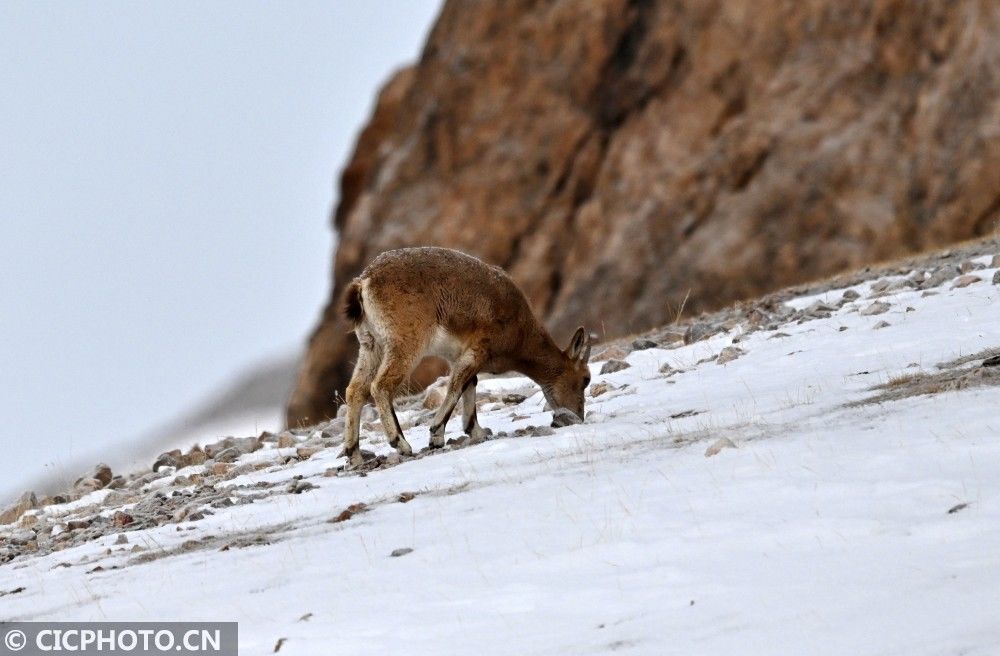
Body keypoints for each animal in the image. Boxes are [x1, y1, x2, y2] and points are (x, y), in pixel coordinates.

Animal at [344, 246, 592, 466]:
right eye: (586, 379)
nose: (578, 416)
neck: (520, 332)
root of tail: (364, 281)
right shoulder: (478, 349)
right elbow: (456, 386)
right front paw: (436, 435)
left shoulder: (461, 355)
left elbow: (469, 384)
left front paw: (476, 432)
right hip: (406, 343)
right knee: (380, 386)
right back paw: (401, 443)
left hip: (371, 345)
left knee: (355, 390)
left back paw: (353, 454)